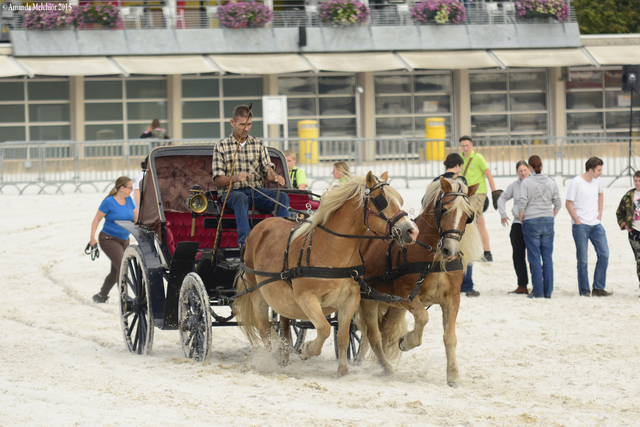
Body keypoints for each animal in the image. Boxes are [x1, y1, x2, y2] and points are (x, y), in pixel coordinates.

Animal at [235, 171, 420, 378]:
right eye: (382, 200)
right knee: (265, 330)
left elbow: (342, 337)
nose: (412, 231)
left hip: (282, 298)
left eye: (400, 199)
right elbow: (323, 328)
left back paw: (283, 355)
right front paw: (307, 350)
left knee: (283, 324)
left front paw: (342, 371)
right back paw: (270, 362)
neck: (331, 250)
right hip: (257, 294)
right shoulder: (306, 298)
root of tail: (260, 227)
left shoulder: (350, 300)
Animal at [360, 176, 480, 386]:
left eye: (468, 215)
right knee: (371, 334)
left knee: (384, 330)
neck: (434, 260)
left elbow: (450, 337)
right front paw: (406, 342)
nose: (450, 251)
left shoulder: (452, 299)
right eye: (444, 210)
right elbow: (423, 318)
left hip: (394, 305)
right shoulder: (407, 295)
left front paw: (453, 375)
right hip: (368, 298)